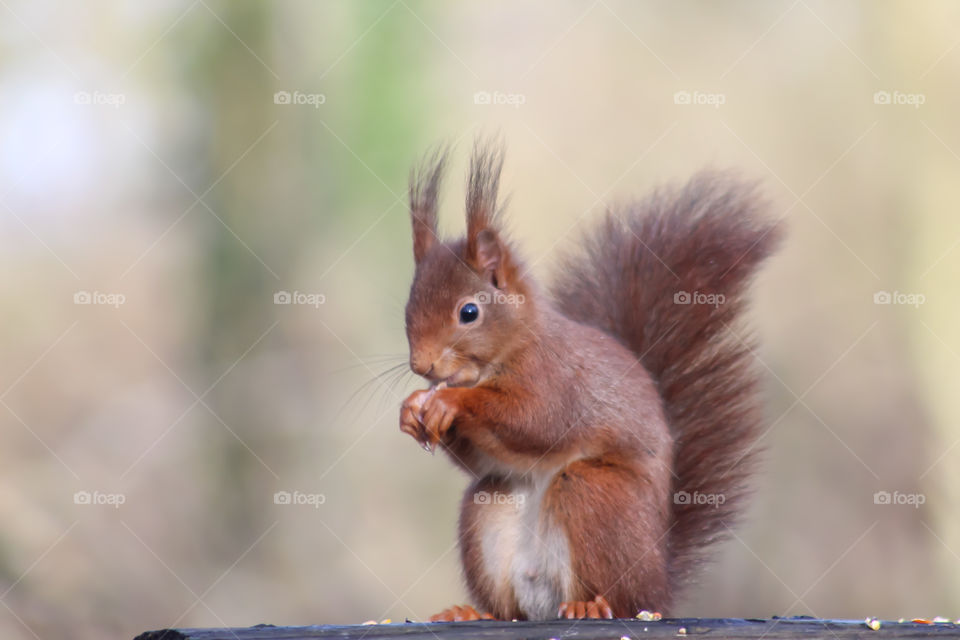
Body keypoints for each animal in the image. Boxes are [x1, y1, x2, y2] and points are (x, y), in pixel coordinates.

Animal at [398, 141, 782, 622]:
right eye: (407, 308)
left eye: (469, 312)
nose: (421, 366)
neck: (511, 349)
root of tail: (659, 585)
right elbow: (476, 459)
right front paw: (412, 409)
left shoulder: (559, 380)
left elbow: (536, 419)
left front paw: (451, 403)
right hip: (490, 506)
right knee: (510, 605)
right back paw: (473, 614)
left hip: (597, 497)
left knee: (617, 594)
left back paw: (590, 605)